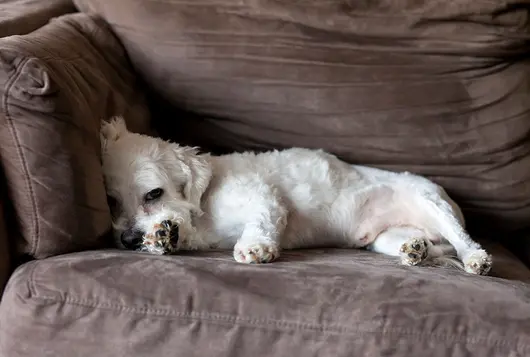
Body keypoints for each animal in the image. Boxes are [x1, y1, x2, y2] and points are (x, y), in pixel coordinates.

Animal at [100, 117, 490, 276]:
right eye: (112, 201)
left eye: (154, 193)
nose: (128, 240)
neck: (203, 205)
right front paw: (163, 237)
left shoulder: (264, 197)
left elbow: (261, 221)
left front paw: (255, 247)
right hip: (385, 239)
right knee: (423, 245)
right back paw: (415, 250)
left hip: (430, 201)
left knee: (463, 240)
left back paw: (475, 259)